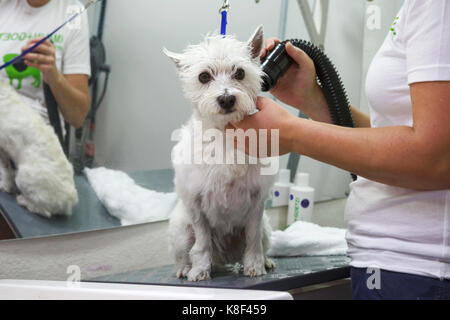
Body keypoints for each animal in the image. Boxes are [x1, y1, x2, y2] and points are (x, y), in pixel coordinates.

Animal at [0, 75, 78, 218]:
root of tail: (70, 200)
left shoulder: (2, 149)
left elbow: (5, 170)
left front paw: (5, 186)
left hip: (24, 176)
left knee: (43, 210)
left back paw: (23, 200)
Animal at [165, 26, 278, 282]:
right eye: (204, 77)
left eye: (240, 73)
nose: (227, 98)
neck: (225, 133)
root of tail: (225, 259)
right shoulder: (196, 205)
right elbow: (202, 243)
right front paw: (199, 270)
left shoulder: (256, 202)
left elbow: (253, 238)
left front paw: (255, 265)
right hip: (180, 231)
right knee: (186, 252)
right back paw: (186, 268)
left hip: (266, 229)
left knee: (260, 241)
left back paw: (266, 260)